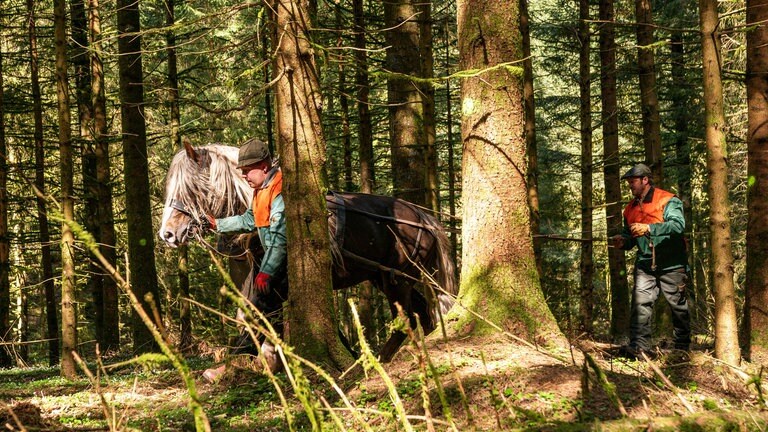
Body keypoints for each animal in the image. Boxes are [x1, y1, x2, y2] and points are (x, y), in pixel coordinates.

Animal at [157, 141, 456, 362]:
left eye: (190, 188)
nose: (167, 234)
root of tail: (422, 216)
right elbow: (252, 315)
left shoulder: (275, 280)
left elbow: (261, 316)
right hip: (383, 277)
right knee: (423, 314)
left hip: (399, 279)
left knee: (406, 320)